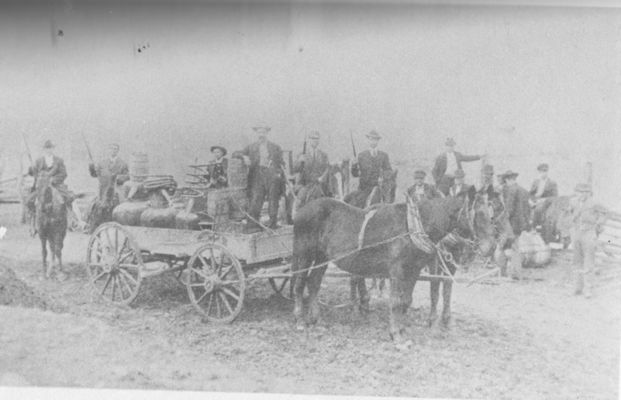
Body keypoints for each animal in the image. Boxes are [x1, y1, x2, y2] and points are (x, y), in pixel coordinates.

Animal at [290, 192, 494, 342]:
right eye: (478, 215)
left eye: (490, 215)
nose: (489, 248)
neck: (413, 227)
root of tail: (300, 211)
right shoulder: (397, 270)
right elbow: (396, 301)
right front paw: (395, 335)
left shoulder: (413, 271)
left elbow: (406, 301)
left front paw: (402, 330)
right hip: (304, 255)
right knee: (300, 285)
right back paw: (299, 320)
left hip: (321, 257)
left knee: (314, 283)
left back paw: (316, 320)